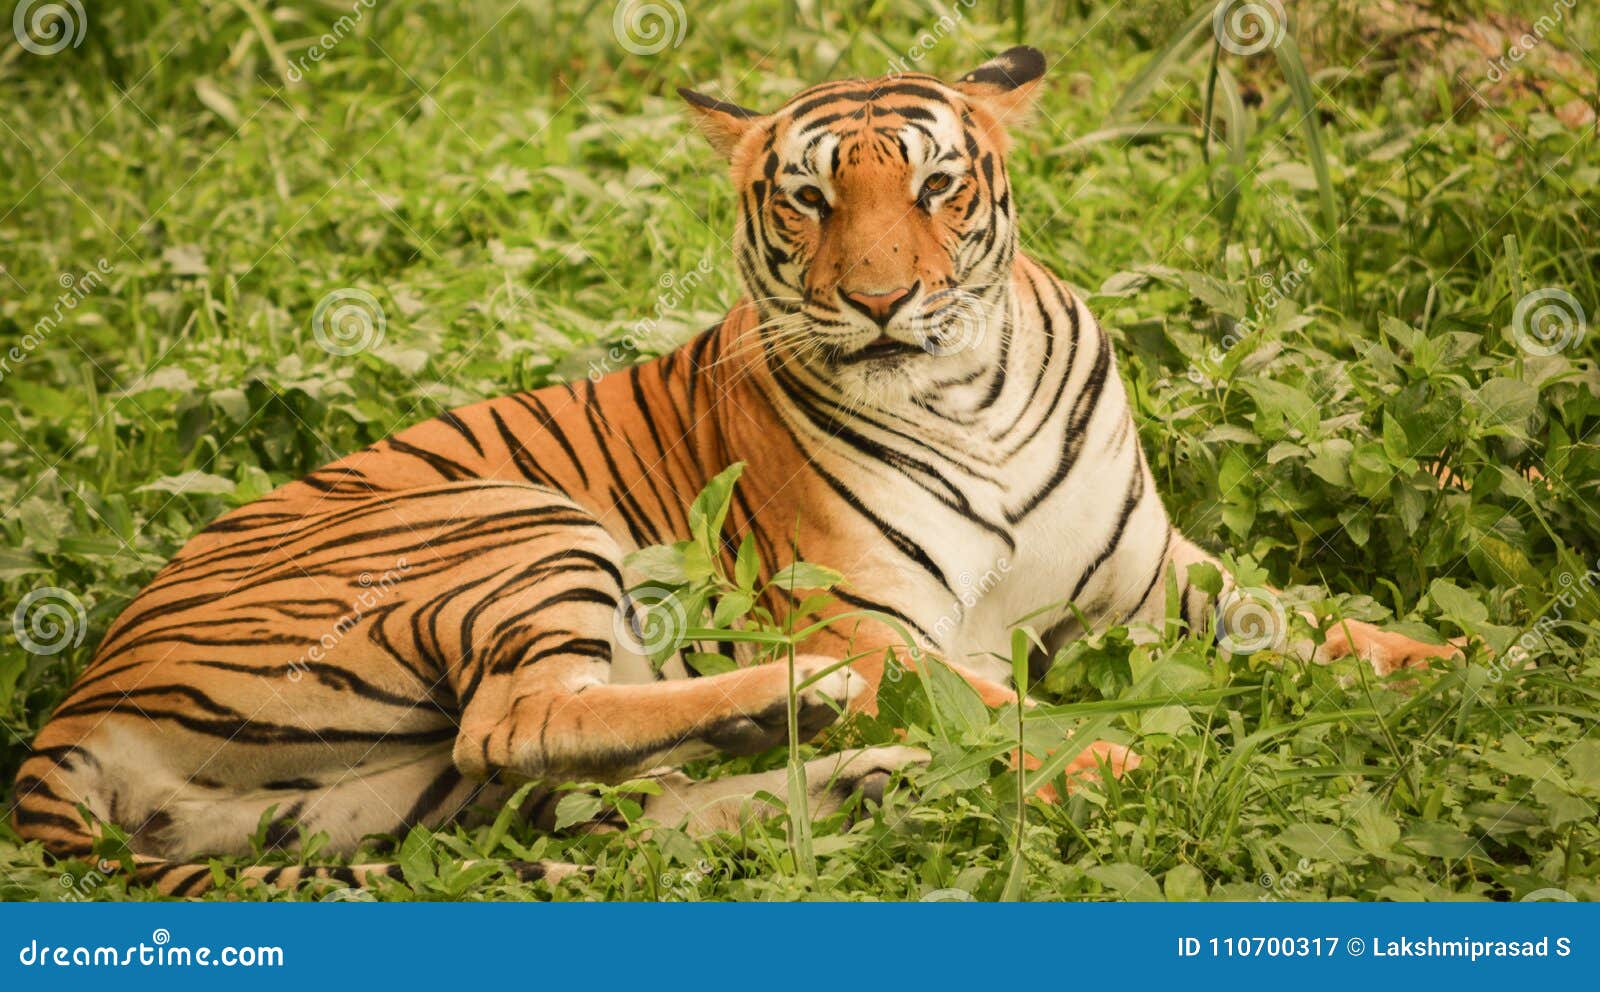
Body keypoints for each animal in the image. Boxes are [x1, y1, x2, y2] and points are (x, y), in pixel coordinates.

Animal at [12, 48, 1465, 896]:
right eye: (807, 197)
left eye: (937, 186)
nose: (879, 302)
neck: (971, 395)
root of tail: (76, 703)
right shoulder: (873, 617)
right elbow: (991, 695)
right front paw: (1115, 748)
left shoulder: (1154, 583)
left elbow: (1316, 624)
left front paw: (1474, 672)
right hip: (513, 524)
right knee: (527, 719)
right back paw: (815, 712)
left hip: (394, 785)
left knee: (583, 808)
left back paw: (843, 770)